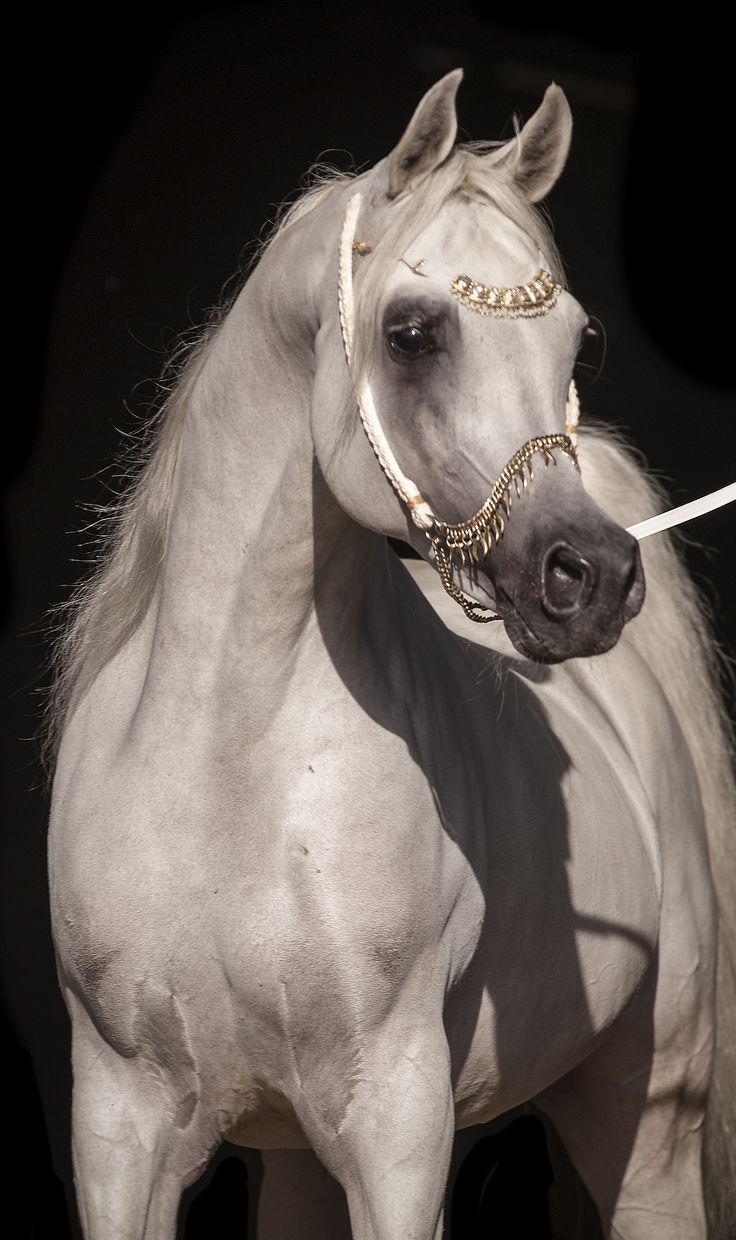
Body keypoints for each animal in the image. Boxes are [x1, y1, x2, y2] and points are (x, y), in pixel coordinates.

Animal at [48, 72, 728, 1235]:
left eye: (581, 341)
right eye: (412, 333)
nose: (590, 577)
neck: (225, 768)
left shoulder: (396, 1130)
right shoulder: (119, 1131)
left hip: (649, 1122)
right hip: (297, 1162)